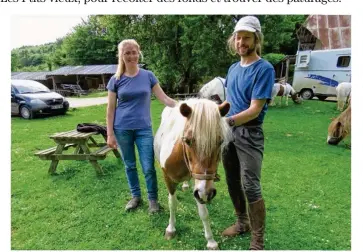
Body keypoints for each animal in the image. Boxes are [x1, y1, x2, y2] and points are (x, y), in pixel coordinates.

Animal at [155, 98, 232, 250]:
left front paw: (211, 241)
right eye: (188, 140)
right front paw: (170, 229)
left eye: (220, 141)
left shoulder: (199, 186)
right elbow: (172, 203)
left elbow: (203, 213)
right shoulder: (168, 179)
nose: (207, 193)